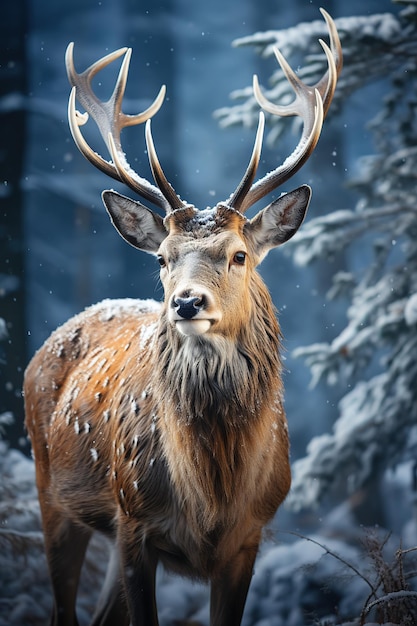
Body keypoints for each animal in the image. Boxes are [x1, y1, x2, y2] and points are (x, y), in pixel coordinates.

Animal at [23, 9, 342, 624]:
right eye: (164, 258)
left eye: (238, 255)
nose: (187, 302)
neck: (212, 496)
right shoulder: (135, 522)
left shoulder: (250, 536)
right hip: (53, 491)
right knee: (62, 608)